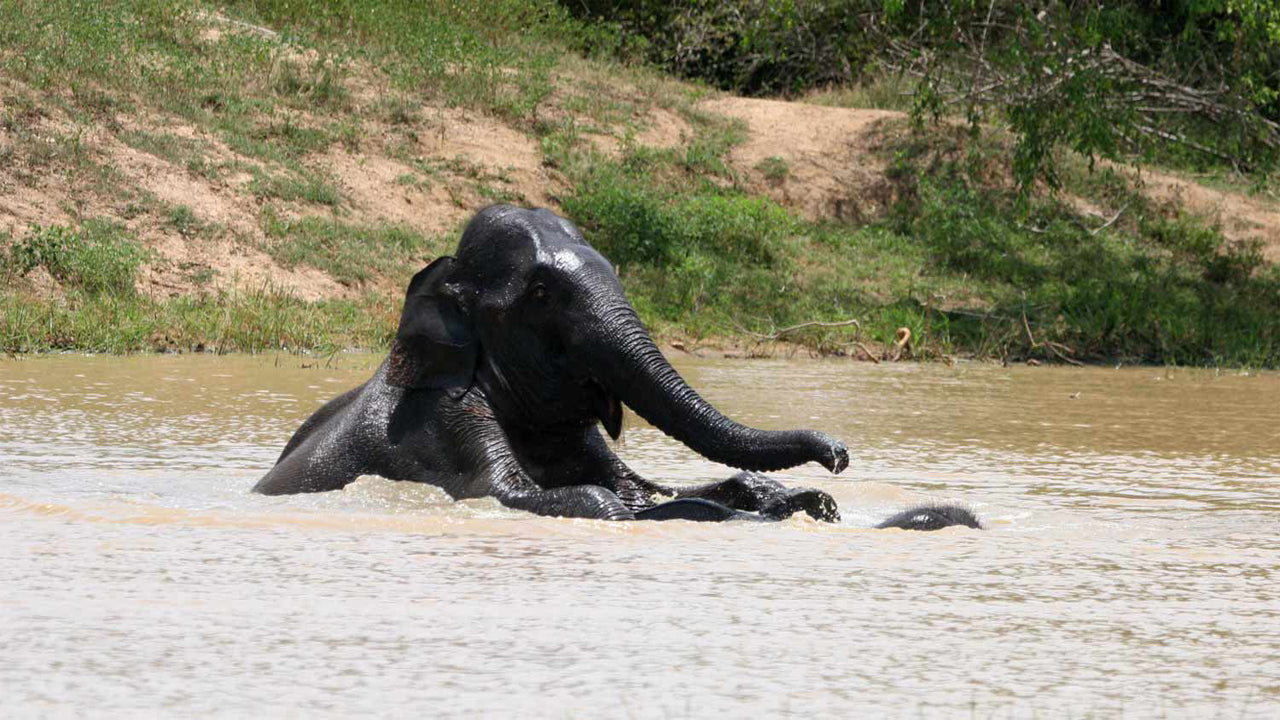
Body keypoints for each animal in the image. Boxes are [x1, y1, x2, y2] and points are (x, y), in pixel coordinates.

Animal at [254, 204, 983, 530]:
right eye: (540, 295)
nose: (838, 456)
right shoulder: (445, 420)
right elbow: (545, 497)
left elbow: (636, 488)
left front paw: (790, 502)